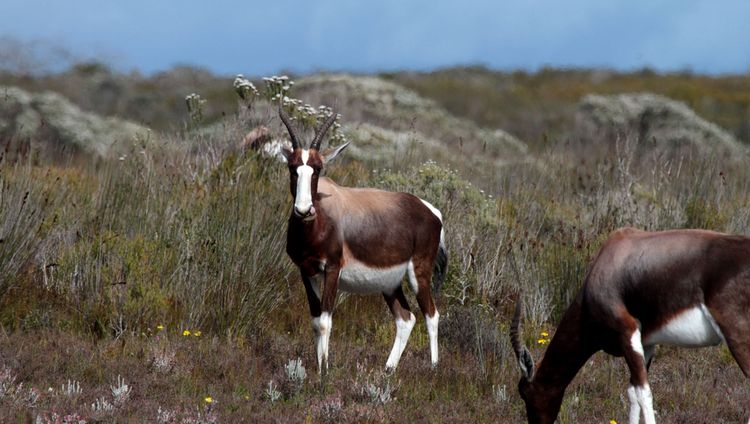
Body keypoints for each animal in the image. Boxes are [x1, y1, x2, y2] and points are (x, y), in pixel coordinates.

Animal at [280, 107, 446, 372]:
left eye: (318, 168)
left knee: (431, 315)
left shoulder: (332, 269)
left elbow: (326, 321)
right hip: (390, 284)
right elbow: (315, 321)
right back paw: (388, 370)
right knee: (406, 319)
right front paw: (318, 368)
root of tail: (431, 211)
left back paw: (433, 368)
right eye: (292, 167)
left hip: (418, 274)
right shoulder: (306, 271)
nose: (304, 210)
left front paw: (324, 372)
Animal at [512, 229, 750, 424]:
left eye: (524, 392)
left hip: (737, 335)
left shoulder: (627, 333)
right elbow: (633, 393)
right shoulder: (646, 344)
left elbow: (644, 393)